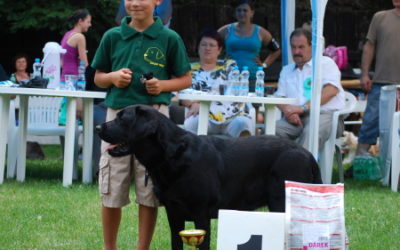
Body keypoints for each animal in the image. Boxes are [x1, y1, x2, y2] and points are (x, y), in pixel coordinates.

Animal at [97, 104, 322, 250]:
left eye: (122, 119)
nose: (98, 127)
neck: (173, 156)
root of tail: (307, 153)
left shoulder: (201, 213)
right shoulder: (173, 212)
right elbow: (176, 242)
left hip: (282, 201)